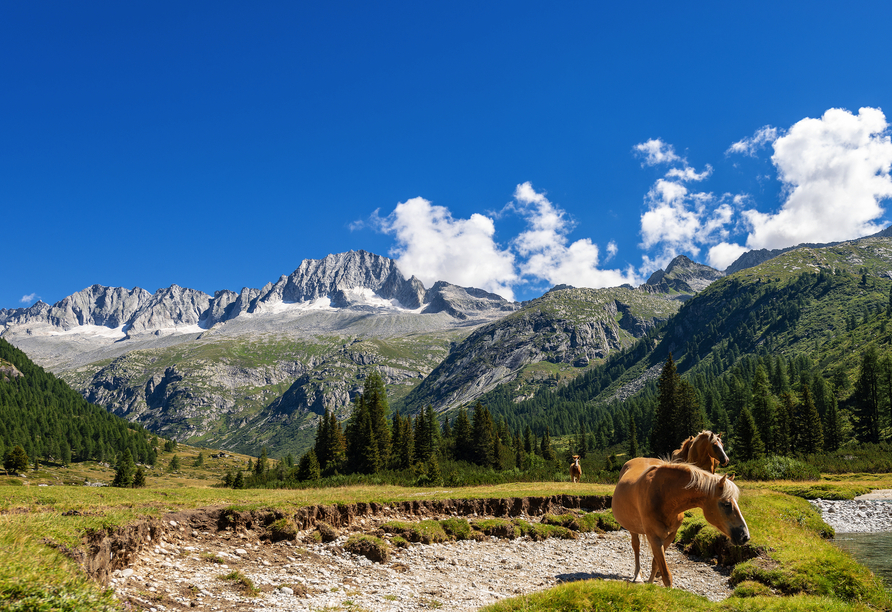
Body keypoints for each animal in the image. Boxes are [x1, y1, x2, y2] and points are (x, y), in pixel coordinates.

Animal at [608, 460, 748, 588]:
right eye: (727, 504)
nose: (745, 536)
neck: (662, 496)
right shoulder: (654, 537)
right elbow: (666, 575)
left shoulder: (671, 535)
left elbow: (656, 562)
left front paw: (651, 582)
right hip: (632, 528)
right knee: (636, 547)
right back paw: (637, 576)